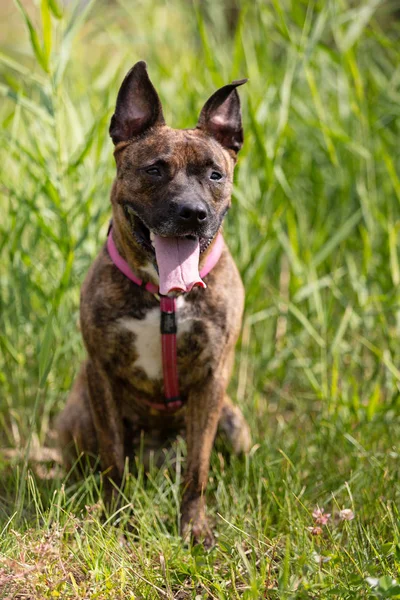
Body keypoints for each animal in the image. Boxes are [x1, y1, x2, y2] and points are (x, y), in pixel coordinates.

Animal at [57, 62, 250, 548]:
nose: (193, 212)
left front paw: (194, 528)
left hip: (235, 426)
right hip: (77, 419)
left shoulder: (212, 380)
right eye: (155, 170)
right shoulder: (103, 373)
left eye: (214, 175)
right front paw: (115, 519)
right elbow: (113, 458)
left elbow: (198, 469)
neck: (164, 297)